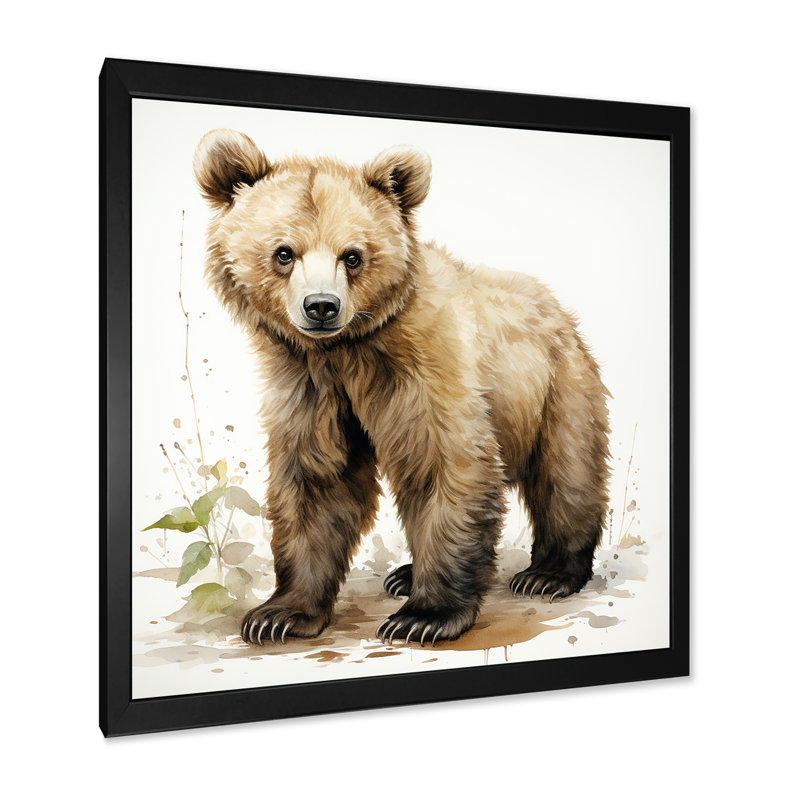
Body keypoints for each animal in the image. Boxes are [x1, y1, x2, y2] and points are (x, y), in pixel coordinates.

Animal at [193, 129, 610, 647]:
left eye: (352, 255)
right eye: (284, 252)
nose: (321, 306)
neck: (348, 349)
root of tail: (556, 307)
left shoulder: (427, 368)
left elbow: (444, 464)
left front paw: (424, 616)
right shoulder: (309, 385)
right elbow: (317, 477)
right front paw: (279, 614)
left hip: (555, 384)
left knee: (566, 470)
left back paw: (548, 573)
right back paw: (404, 574)